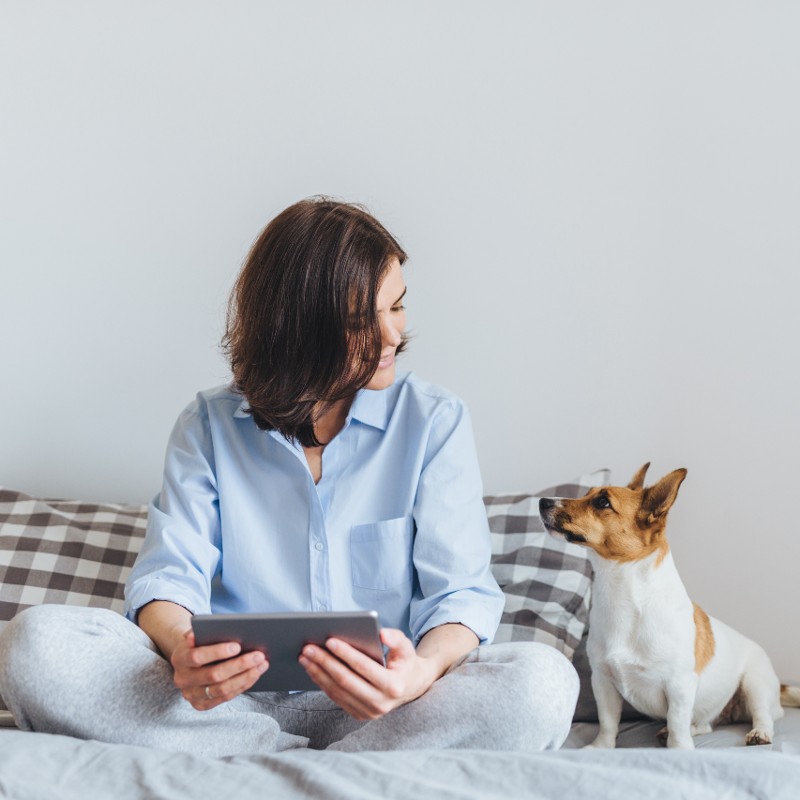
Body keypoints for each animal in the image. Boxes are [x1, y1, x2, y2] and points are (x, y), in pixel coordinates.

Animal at [536, 466, 800, 748]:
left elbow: (676, 722)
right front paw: (601, 747)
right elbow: (608, 721)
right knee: (705, 724)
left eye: (602, 502)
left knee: (762, 715)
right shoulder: (603, 681)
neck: (621, 591)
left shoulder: (679, 685)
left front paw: (679, 748)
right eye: (587, 493)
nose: (543, 502)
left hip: (755, 683)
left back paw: (759, 733)